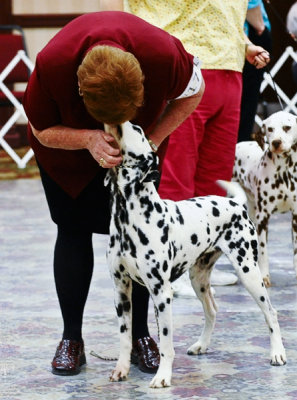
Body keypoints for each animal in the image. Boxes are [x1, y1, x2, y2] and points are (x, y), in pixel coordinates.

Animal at [103, 121, 284, 388]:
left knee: (271, 312)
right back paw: (201, 345)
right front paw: (121, 369)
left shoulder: (161, 294)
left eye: (137, 129)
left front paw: (163, 376)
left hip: (250, 274)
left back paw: (278, 353)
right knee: (212, 311)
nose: (123, 120)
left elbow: (166, 344)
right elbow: (125, 338)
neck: (130, 217)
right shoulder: (121, 291)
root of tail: (237, 205)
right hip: (199, 280)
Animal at [232, 111, 296, 286]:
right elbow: (263, 250)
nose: (276, 142)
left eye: (287, 127)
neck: (284, 173)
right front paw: (264, 275)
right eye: (270, 129)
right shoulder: (263, 218)